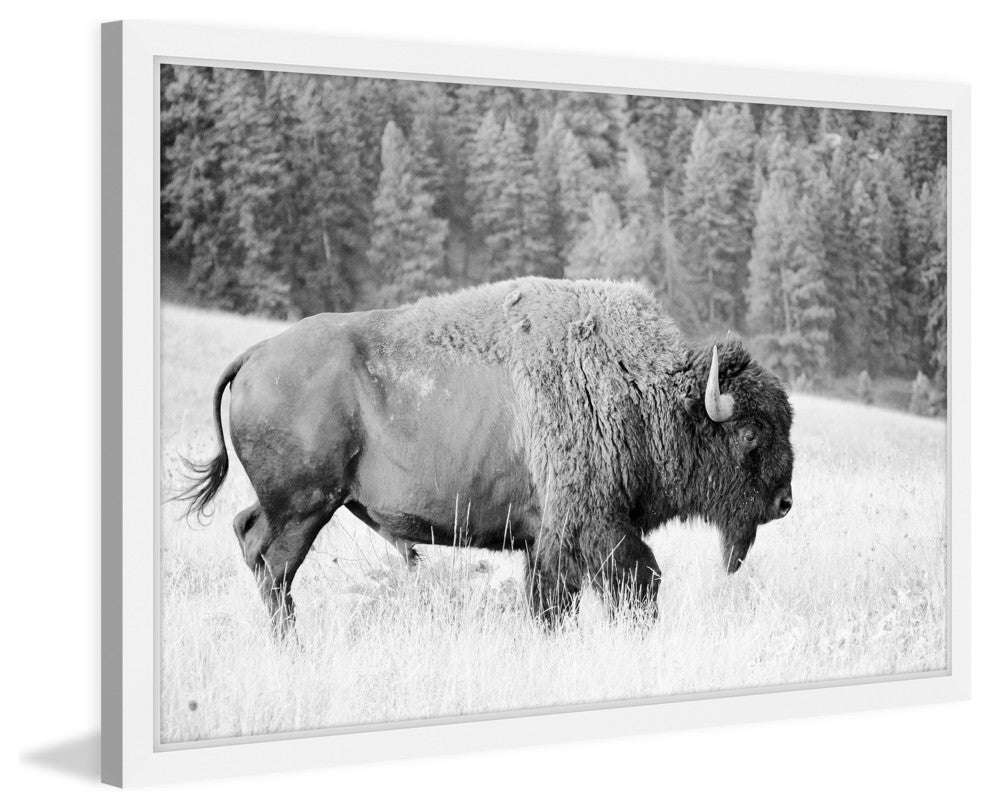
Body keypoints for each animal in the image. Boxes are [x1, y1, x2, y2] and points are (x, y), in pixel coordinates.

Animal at [178, 277, 794, 634]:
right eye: (750, 435)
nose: (785, 502)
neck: (641, 389)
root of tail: (256, 353)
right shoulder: (596, 527)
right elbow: (635, 584)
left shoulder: (545, 541)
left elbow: (554, 603)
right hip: (304, 507)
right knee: (274, 566)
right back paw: (292, 646)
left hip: (292, 505)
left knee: (248, 535)